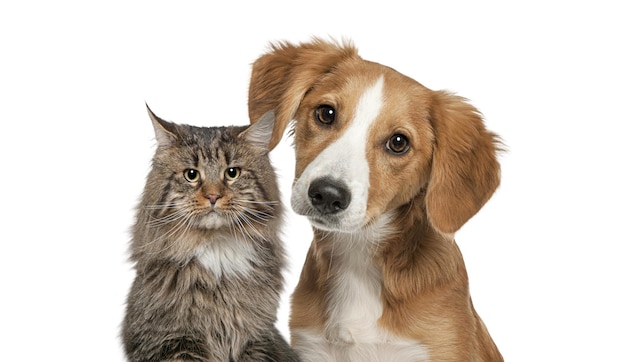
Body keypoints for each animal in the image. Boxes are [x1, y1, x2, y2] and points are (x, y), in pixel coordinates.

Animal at [123, 105, 298, 362]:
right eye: (191, 174)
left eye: (232, 173)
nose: (213, 196)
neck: (217, 252)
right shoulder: (173, 341)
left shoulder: (256, 338)